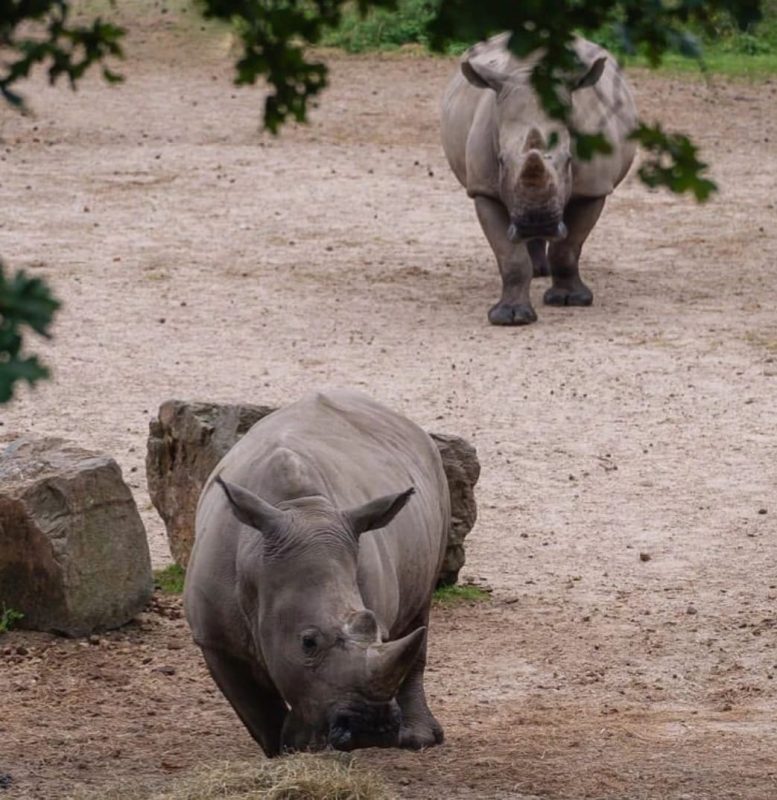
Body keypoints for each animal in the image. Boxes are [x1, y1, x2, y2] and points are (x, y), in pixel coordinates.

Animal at [183, 389, 448, 756]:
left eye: (379, 632)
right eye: (307, 642)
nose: (372, 730)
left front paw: (309, 747)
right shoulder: (215, 640)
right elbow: (260, 713)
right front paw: (286, 752)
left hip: (436, 473)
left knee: (420, 612)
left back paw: (417, 740)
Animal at [441, 33, 637, 325]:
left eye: (569, 160)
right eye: (501, 161)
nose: (537, 223)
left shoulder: (593, 188)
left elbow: (567, 248)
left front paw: (570, 300)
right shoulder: (483, 188)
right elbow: (510, 257)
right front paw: (510, 317)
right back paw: (536, 271)